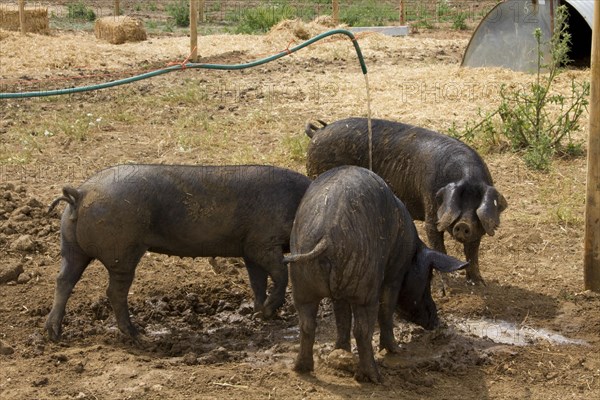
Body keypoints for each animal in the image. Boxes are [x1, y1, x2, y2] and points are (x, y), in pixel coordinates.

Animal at [45, 164, 312, 342]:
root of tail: (80, 194)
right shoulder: (263, 243)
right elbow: (280, 275)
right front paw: (268, 311)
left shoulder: (249, 249)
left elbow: (257, 281)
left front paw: (260, 314)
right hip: (123, 252)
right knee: (113, 291)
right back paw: (136, 334)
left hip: (71, 247)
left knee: (63, 280)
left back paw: (52, 333)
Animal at [286, 166, 468, 384]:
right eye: (429, 278)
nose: (436, 321)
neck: (411, 252)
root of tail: (327, 237)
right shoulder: (394, 276)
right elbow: (386, 310)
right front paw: (396, 351)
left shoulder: (340, 295)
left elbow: (342, 317)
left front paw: (341, 350)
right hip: (364, 288)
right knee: (363, 329)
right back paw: (374, 377)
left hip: (302, 283)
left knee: (307, 324)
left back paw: (301, 368)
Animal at [304, 118, 506, 284]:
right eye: (458, 203)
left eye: (475, 207)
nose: (463, 224)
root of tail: (317, 132)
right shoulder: (431, 209)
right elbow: (439, 246)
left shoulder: (479, 228)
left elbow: (472, 251)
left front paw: (480, 284)